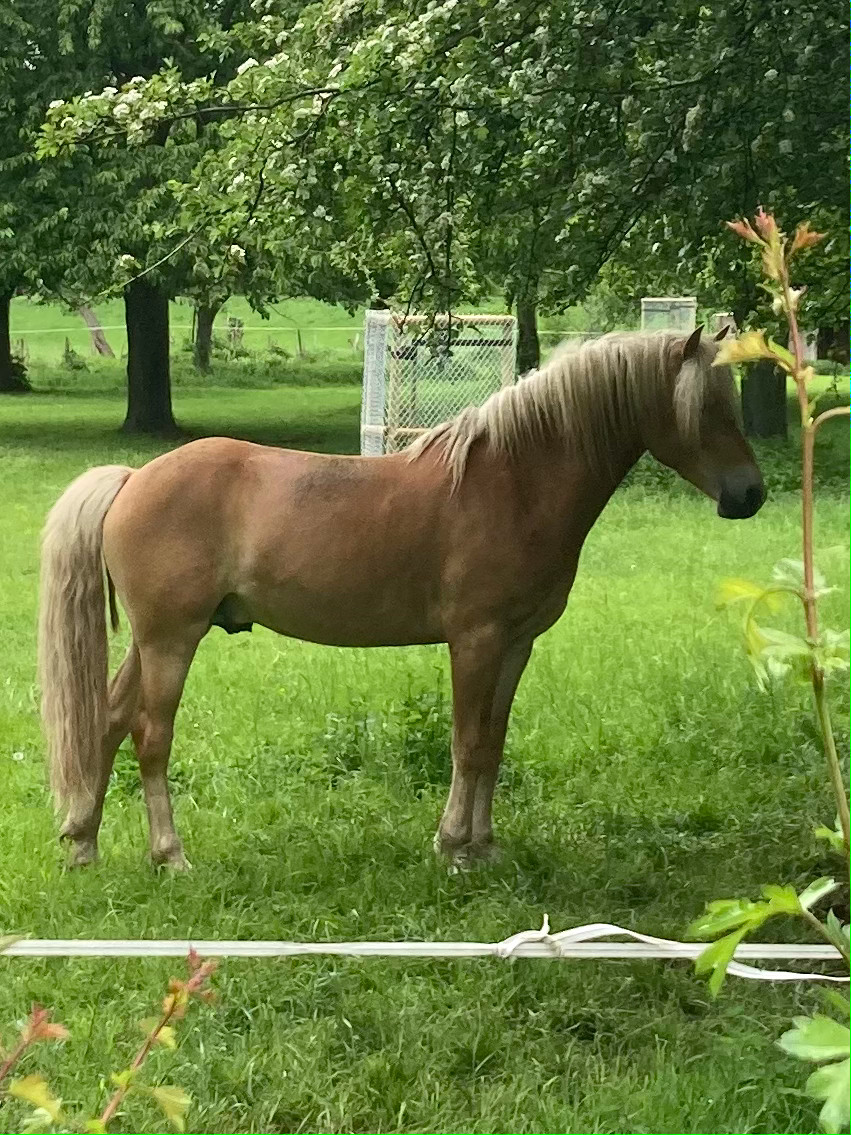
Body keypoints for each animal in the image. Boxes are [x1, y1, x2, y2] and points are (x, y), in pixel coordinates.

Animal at [38, 325, 765, 870]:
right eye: (706, 408)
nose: (749, 494)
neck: (514, 480)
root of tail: (133, 479)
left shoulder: (516, 645)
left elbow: (492, 744)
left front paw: (485, 846)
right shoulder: (475, 640)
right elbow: (466, 742)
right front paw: (453, 848)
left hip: (151, 641)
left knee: (106, 719)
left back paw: (83, 844)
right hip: (172, 639)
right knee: (150, 735)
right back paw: (170, 855)